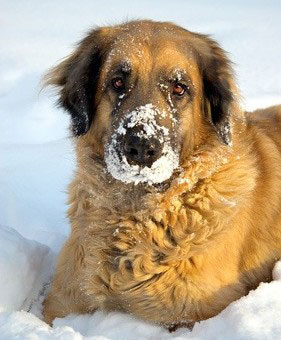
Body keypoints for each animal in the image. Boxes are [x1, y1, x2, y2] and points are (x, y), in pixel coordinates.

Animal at [42, 19, 280, 328]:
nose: (142, 146)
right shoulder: (61, 302)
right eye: (118, 82)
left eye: (179, 88)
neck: (134, 217)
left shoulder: (196, 312)